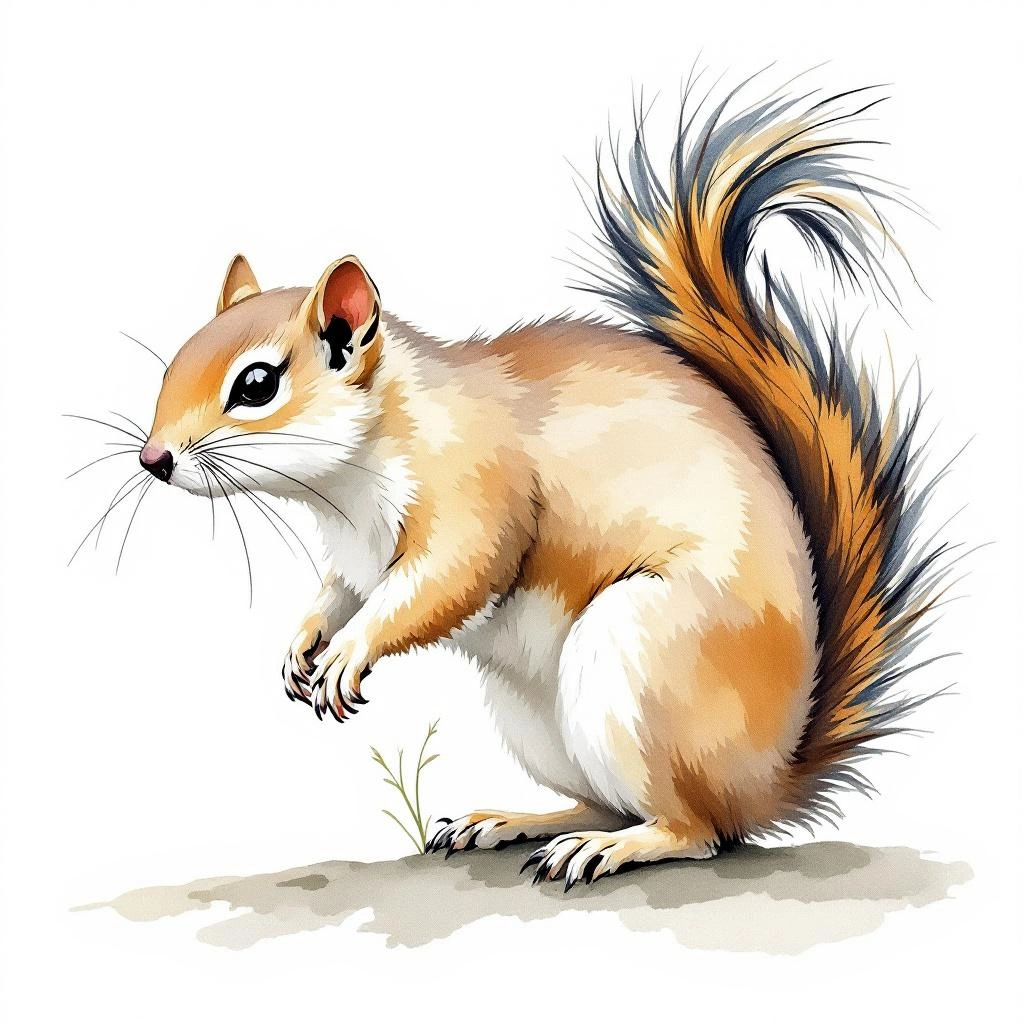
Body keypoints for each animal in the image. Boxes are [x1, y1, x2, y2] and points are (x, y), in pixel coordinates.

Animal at [135, 81, 946, 887]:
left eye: (257, 384)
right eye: (174, 362)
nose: (153, 459)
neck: (346, 482)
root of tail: (770, 777)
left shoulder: (476, 488)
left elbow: (450, 578)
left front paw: (348, 650)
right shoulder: (355, 554)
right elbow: (337, 591)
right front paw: (302, 642)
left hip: (639, 659)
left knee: (699, 829)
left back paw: (615, 847)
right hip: (536, 718)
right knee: (608, 801)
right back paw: (513, 822)